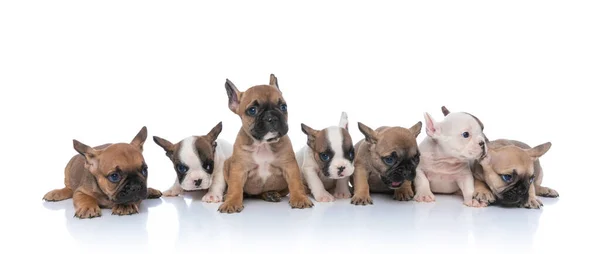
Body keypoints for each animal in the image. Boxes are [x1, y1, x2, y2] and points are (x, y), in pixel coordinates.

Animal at [219, 74, 314, 213]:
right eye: (252, 110)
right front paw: (231, 202)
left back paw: (270, 194)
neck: (263, 144)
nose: (272, 117)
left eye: (283, 107)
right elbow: (235, 187)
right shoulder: (238, 170)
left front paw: (300, 198)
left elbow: (296, 183)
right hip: (227, 164)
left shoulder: (290, 167)